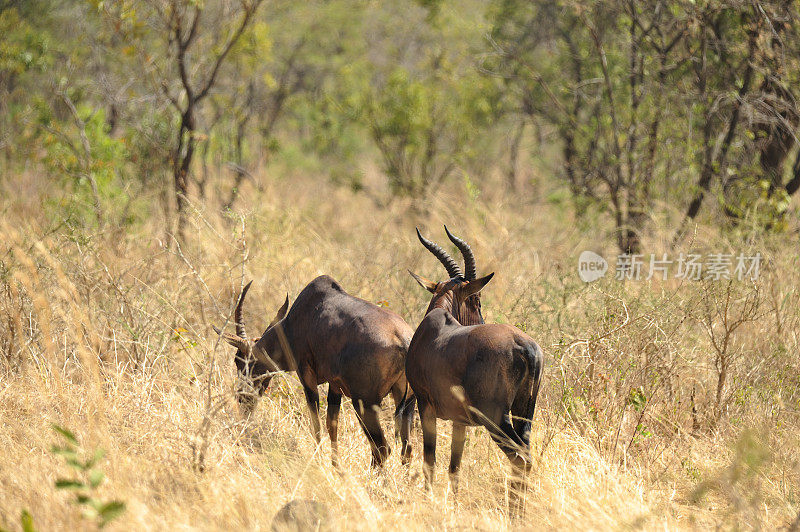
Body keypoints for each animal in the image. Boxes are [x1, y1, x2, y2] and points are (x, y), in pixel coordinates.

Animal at [216, 276, 416, 468]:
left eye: (239, 360)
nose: (243, 400)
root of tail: (404, 341)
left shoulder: (307, 377)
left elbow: (316, 423)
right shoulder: (335, 386)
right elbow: (331, 424)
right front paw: (336, 468)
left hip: (365, 402)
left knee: (382, 448)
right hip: (407, 403)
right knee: (407, 449)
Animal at [406, 229, 544, 516]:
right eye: (477, 300)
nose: (480, 320)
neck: (437, 326)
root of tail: (525, 347)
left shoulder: (426, 407)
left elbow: (430, 460)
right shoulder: (460, 421)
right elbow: (454, 466)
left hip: (496, 419)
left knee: (520, 457)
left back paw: (513, 514)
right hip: (523, 414)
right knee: (527, 455)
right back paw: (519, 513)